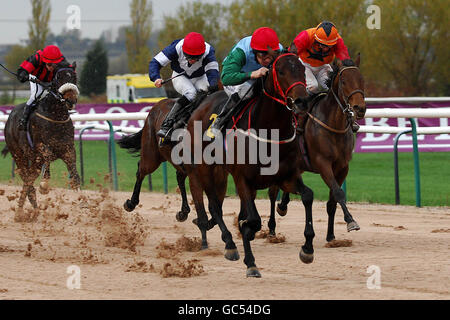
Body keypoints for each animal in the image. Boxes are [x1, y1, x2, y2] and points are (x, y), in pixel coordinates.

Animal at [1, 66, 79, 221]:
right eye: (59, 78)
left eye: (74, 77)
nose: (71, 99)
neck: (55, 116)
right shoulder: (41, 147)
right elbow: (47, 155)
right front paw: (44, 185)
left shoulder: (68, 148)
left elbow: (73, 167)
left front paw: (78, 188)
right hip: (19, 155)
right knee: (27, 178)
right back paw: (21, 212)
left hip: (33, 161)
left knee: (29, 178)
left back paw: (32, 209)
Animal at [183, 53, 312, 278]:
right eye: (281, 71)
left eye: (303, 70)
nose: (302, 101)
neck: (269, 131)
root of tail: (201, 104)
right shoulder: (242, 178)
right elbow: (252, 219)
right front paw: (250, 262)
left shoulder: (286, 177)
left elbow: (307, 196)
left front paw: (307, 249)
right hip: (204, 167)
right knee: (214, 205)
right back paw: (229, 244)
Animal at [268, 55, 366, 241]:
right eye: (344, 81)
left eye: (361, 79)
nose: (360, 108)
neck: (333, 125)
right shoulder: (323, 163)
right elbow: (338, 193)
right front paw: (351, 221)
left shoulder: (342, 167)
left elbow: (332, 201)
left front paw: (331, 236)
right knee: (272, 192)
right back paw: (271, 229)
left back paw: (283, 205)